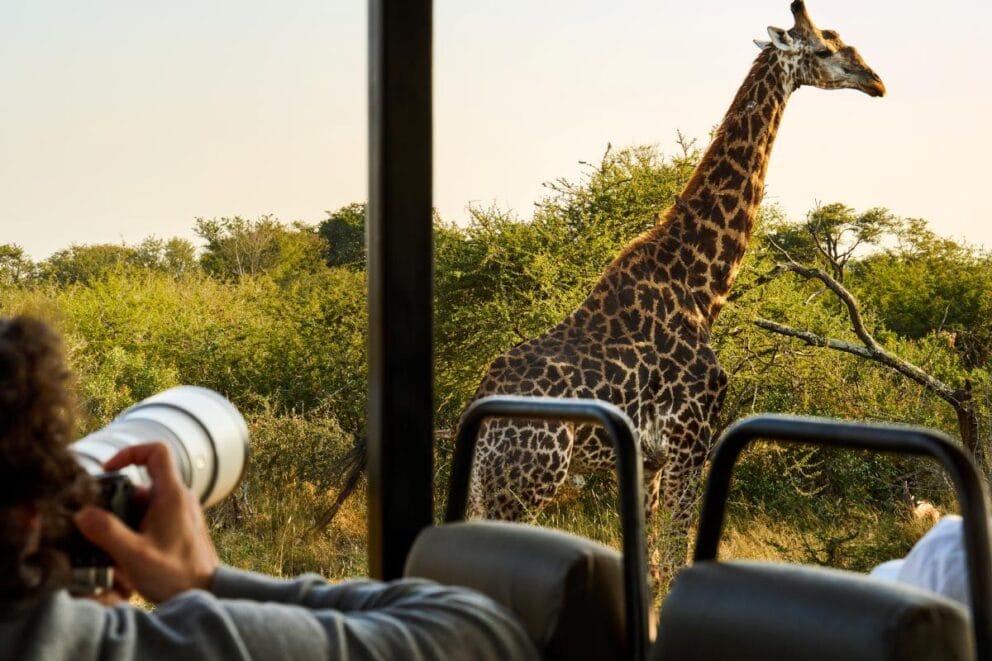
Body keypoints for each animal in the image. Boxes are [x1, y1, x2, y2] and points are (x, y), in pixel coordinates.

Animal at [462, 1, 885, 575]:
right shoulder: (692, 436)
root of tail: (481, 425)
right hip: (527, 481)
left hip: (489, 486)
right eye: (824, 49)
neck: (701, 286)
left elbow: (651, 560)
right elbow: (674, 556)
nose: (876, 81)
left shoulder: (651, 456)